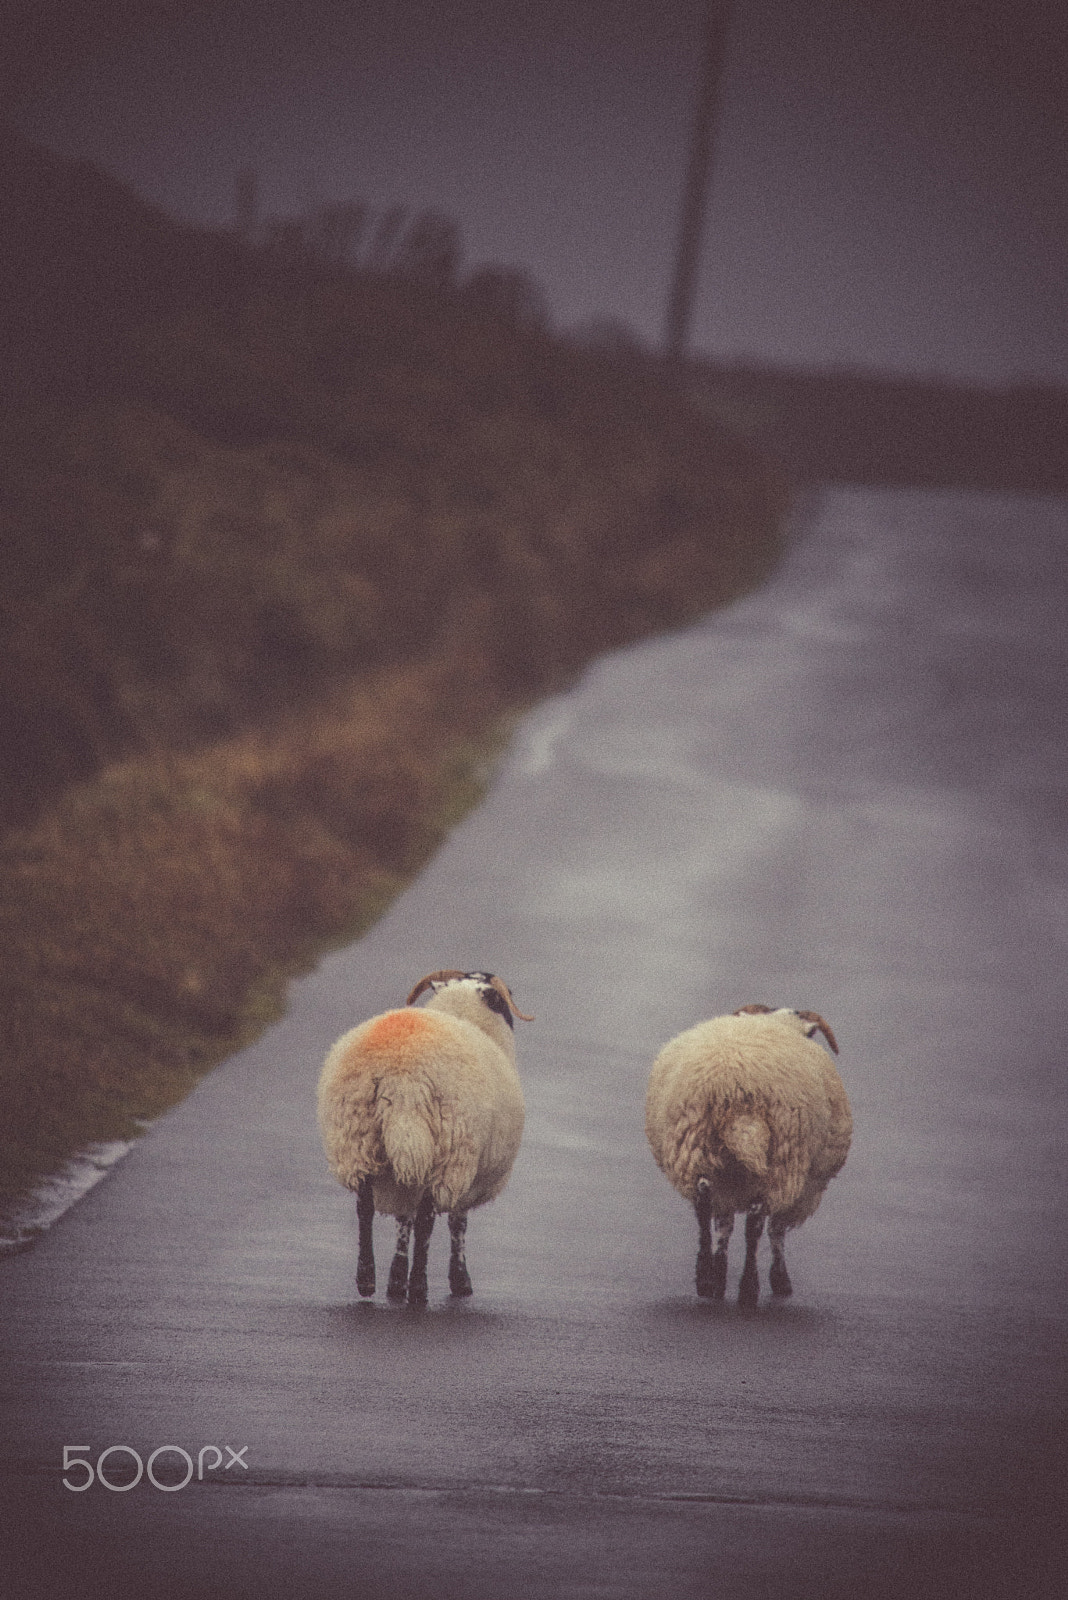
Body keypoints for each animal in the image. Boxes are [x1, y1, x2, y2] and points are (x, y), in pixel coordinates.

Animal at [316, 972, 534, 1299]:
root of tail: (403, 1075)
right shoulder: (465, 1173)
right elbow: (457, 1225)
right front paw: (460, 1282)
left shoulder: (407, 1170)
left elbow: (402, 1223)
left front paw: (395, 1282)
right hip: (449, 1149)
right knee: (426, 1221)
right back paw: (418, 1288)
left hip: (358, 1140)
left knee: (365, 1208)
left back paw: (366, 1279)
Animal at [642, 1004, 850, 1305]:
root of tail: (738, 1087)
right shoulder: (804, 1187)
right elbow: (776, 1231)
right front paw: (779, 1281)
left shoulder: (726, 1185)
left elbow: (724, 1226)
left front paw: (718, 1275)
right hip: (782, 1162)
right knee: (755, 1223)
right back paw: (749, 1288)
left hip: (697, 1149)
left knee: (704, 1204)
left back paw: (706, 1277)